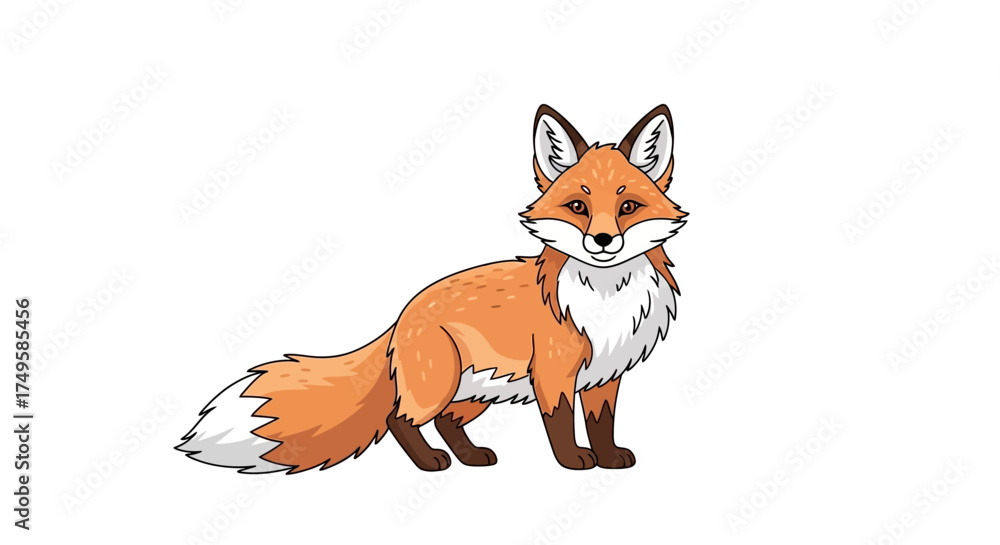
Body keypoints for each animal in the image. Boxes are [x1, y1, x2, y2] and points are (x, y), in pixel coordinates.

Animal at [177, 104, 687, 472]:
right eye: (578, 207)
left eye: (628, 207)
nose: (602, 241)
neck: (605, 300)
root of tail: (402, 315)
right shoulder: (553, 374)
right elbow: (560, 425)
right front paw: (574, 462)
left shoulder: (605, 374)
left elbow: (602, 424)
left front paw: (609, 458)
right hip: (442, 386)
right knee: (398, 419)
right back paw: (431, 464)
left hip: (476, 392)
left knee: (443, 421)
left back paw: (471, 457)